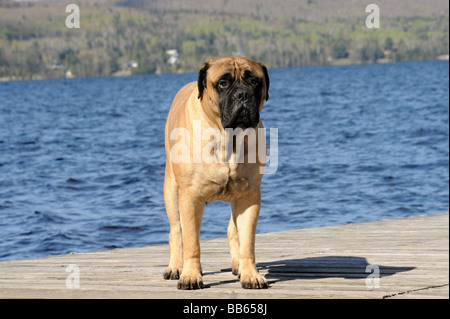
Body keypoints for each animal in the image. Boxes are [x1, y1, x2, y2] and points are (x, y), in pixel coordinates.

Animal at [165, 57, 270, 290]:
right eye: (223, 83)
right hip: (171, 190)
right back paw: (176, 267)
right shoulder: (190, 197)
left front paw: (251, 274)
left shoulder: (249, 196)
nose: (242, 94)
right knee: (176, 230)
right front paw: (190, 276)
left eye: (254, 81)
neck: (228, 137)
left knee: (233, 229)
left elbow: (247, 241)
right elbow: (191, 242)